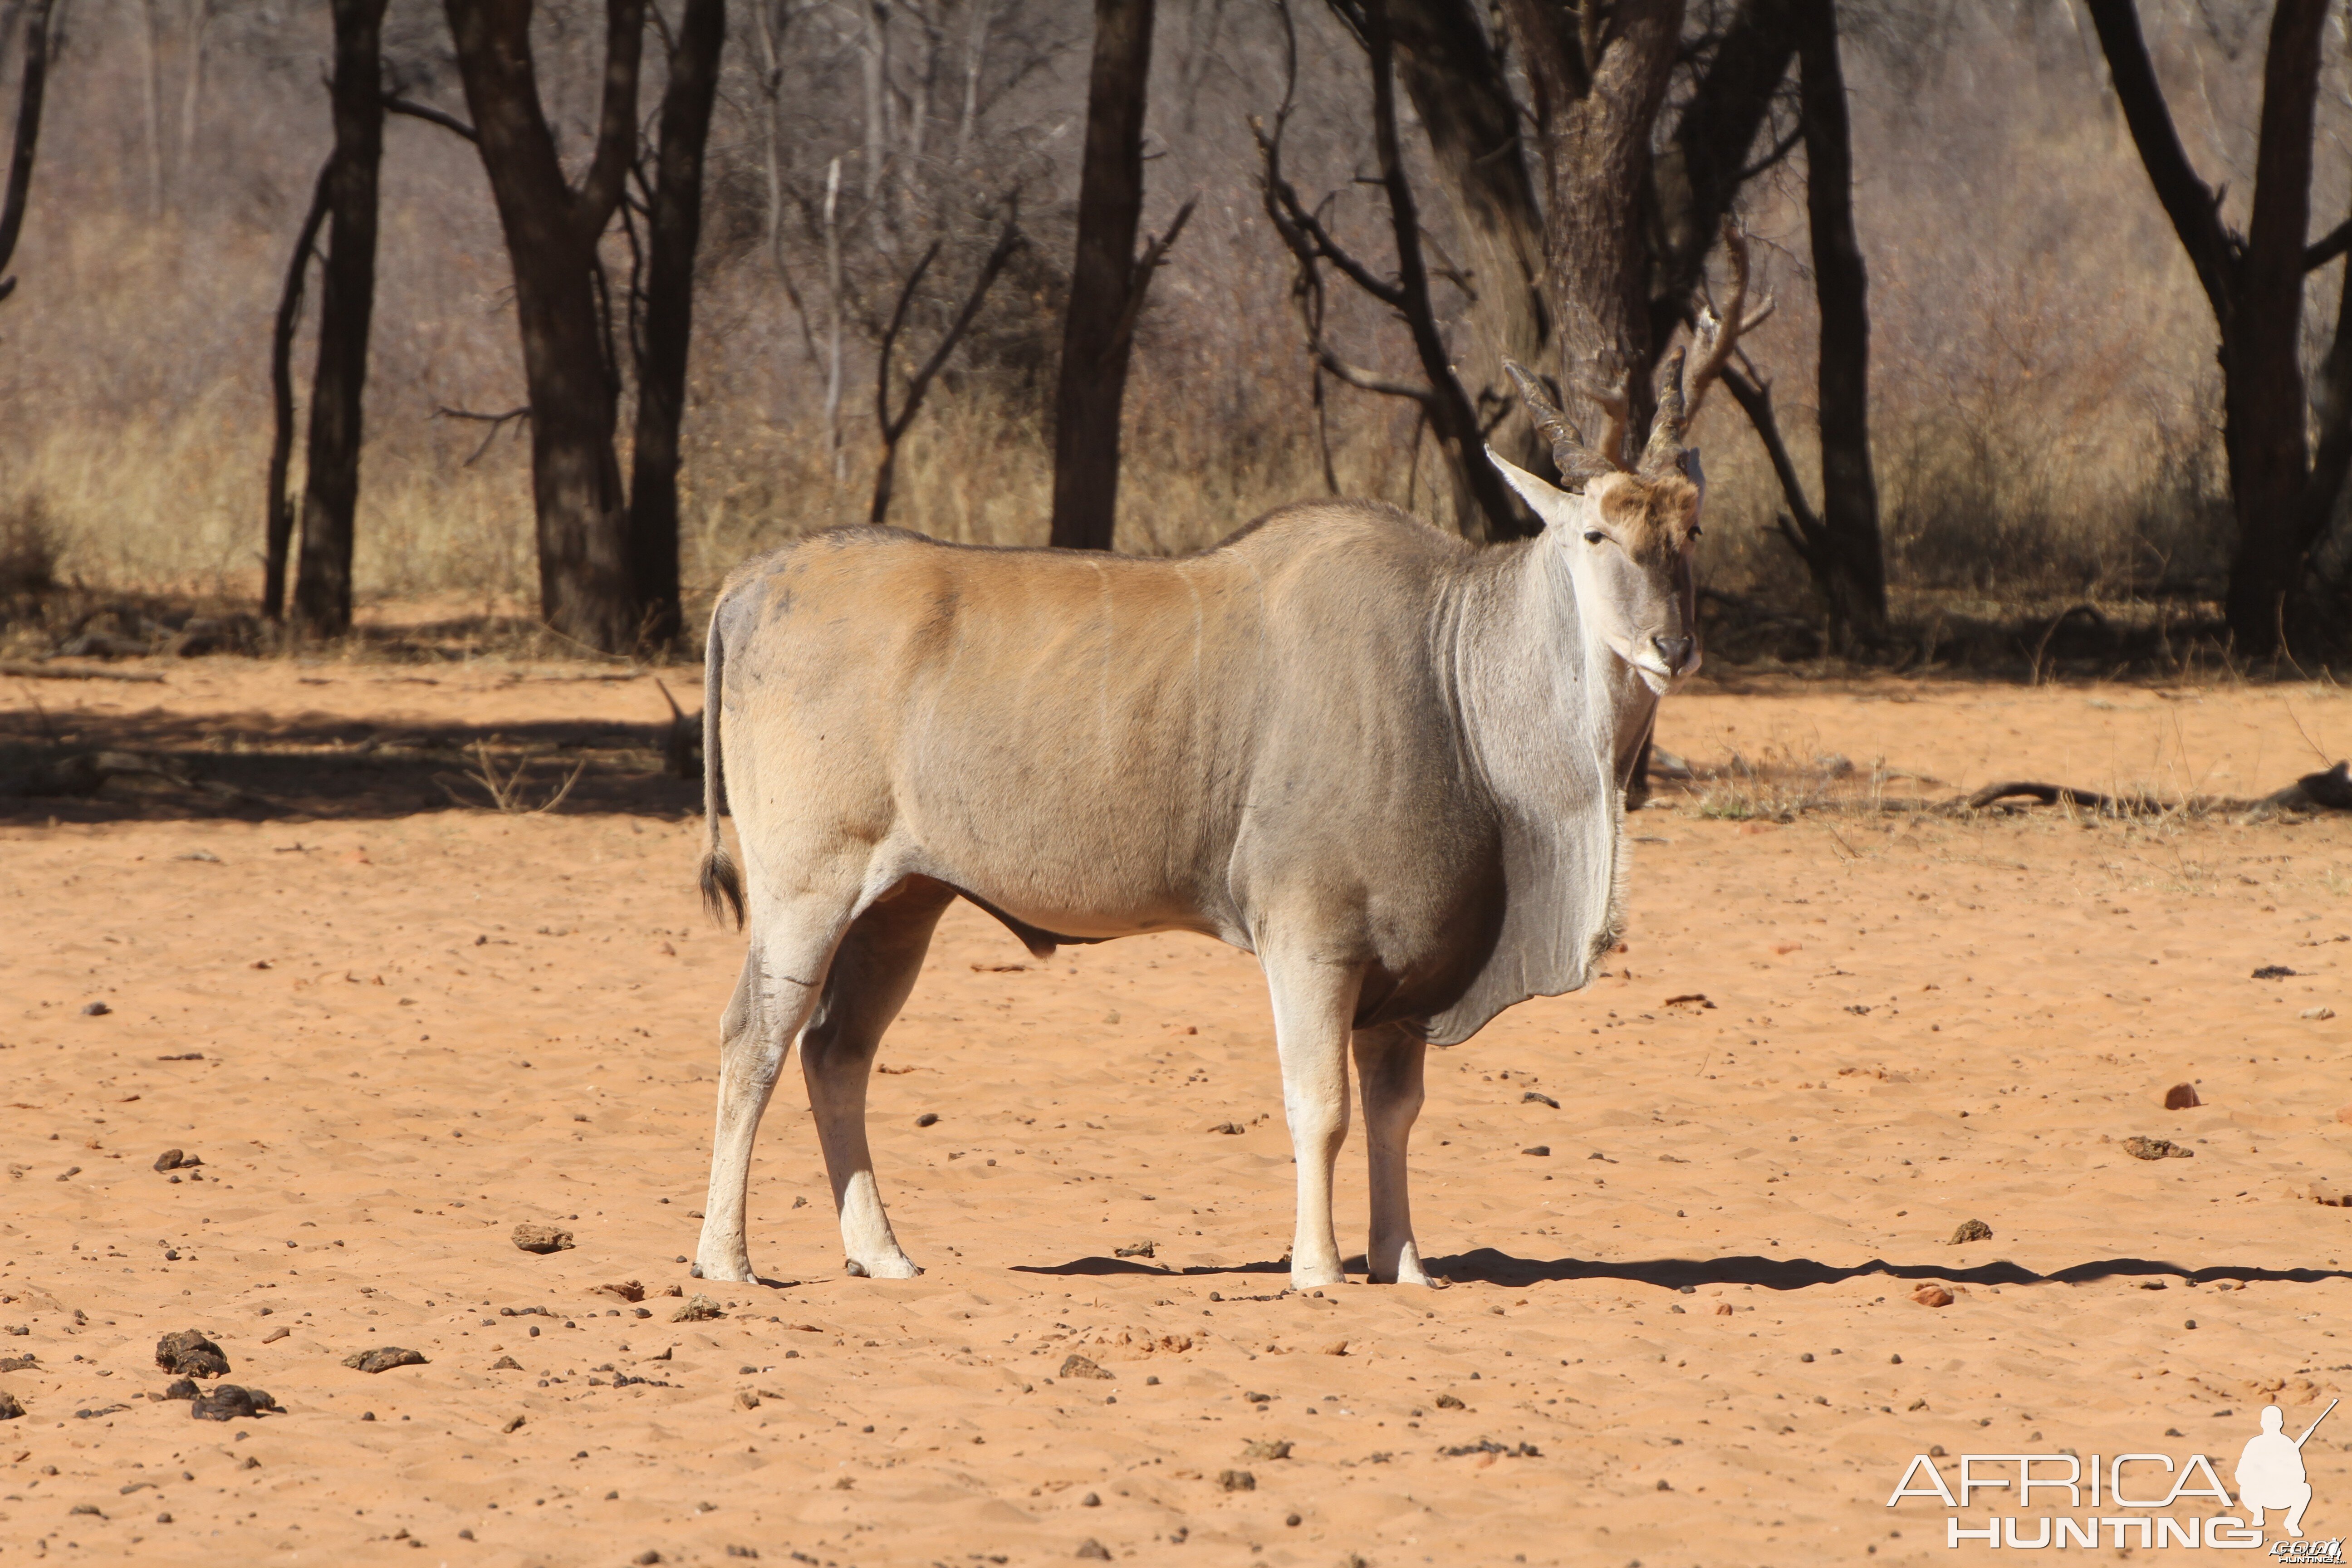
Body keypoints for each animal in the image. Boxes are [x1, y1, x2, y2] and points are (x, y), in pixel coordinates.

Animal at [686, 257, 1769, 1298]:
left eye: (1691, 530)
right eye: (1596, 534)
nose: (1674, 647)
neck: (1450, 667)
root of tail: (747, 584)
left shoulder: (1404, 981)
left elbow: (1396, 1112)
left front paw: (1404, 1264)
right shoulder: (1311, 940)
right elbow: (1320, 1107)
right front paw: (1318, 1269)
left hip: (904, 902)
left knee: (836, 1051)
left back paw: (881, 1255)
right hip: (808, 889)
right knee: (753, 1039)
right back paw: (727, 1260)